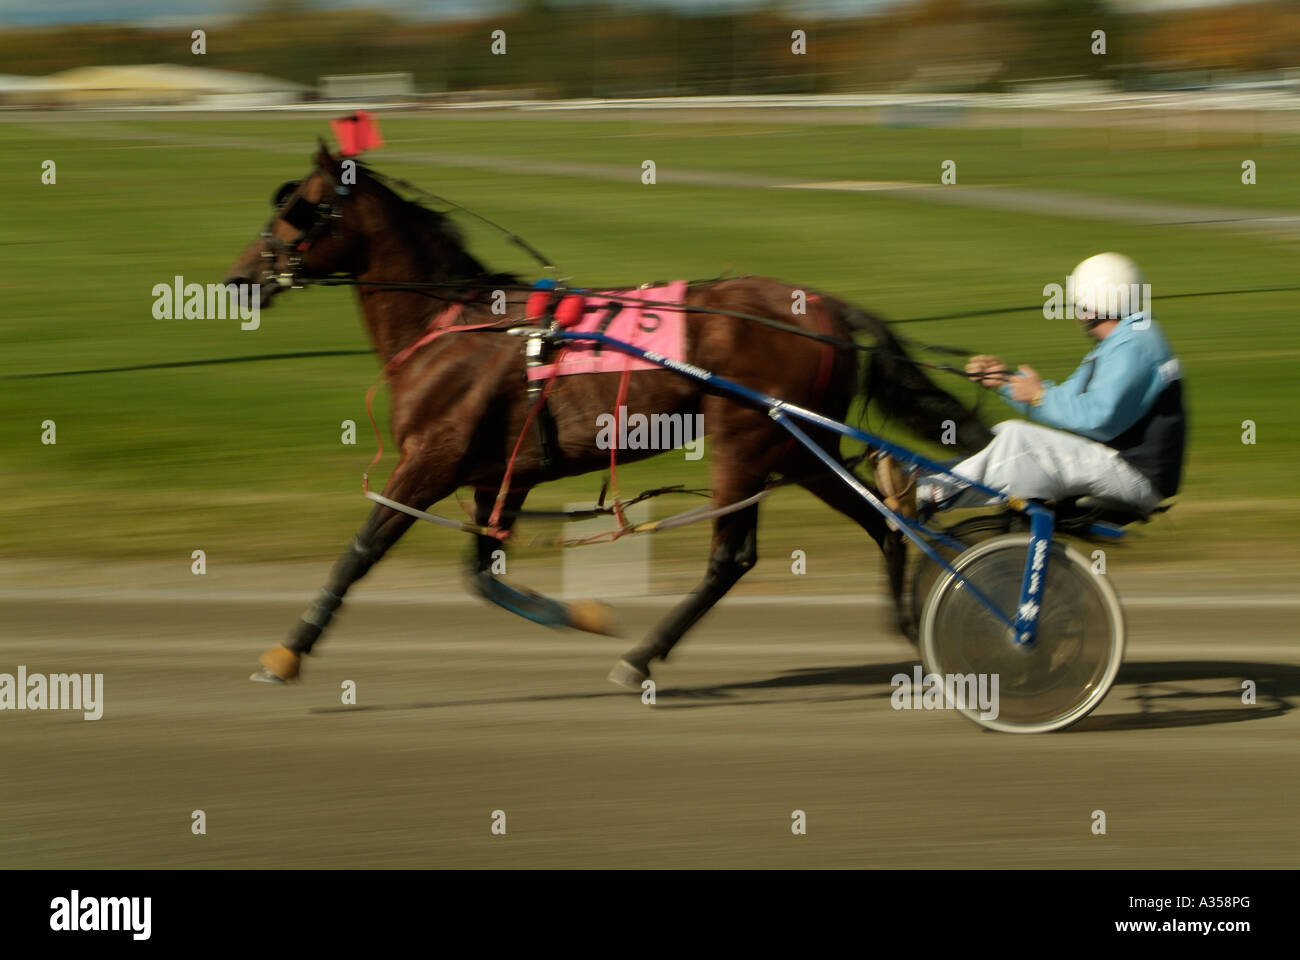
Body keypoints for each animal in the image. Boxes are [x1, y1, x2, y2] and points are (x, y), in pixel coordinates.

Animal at [226, 141, 993, 686]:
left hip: (748, 440)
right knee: (882, 521)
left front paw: (289, 652)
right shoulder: (499, 472)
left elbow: (361, 551)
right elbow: (480, 572)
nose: (239, 279)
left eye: (300, 207)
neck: (453, 325)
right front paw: (580, 614)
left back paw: (644, 659)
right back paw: (907, 629)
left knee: (732, 557)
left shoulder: (432, 458)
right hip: (798, 446)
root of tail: (827, 307)